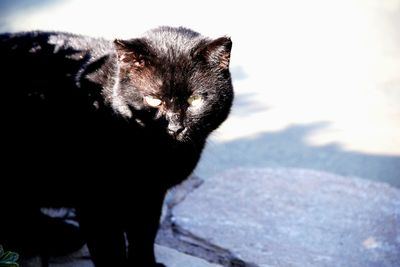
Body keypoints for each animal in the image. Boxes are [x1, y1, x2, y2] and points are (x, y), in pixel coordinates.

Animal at [0, 26, 234, 266]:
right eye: (154, 100)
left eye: (194, 100)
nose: (175, 127)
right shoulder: (96, 200)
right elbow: (110, 249)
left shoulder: (151, 194)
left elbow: (144, 236)